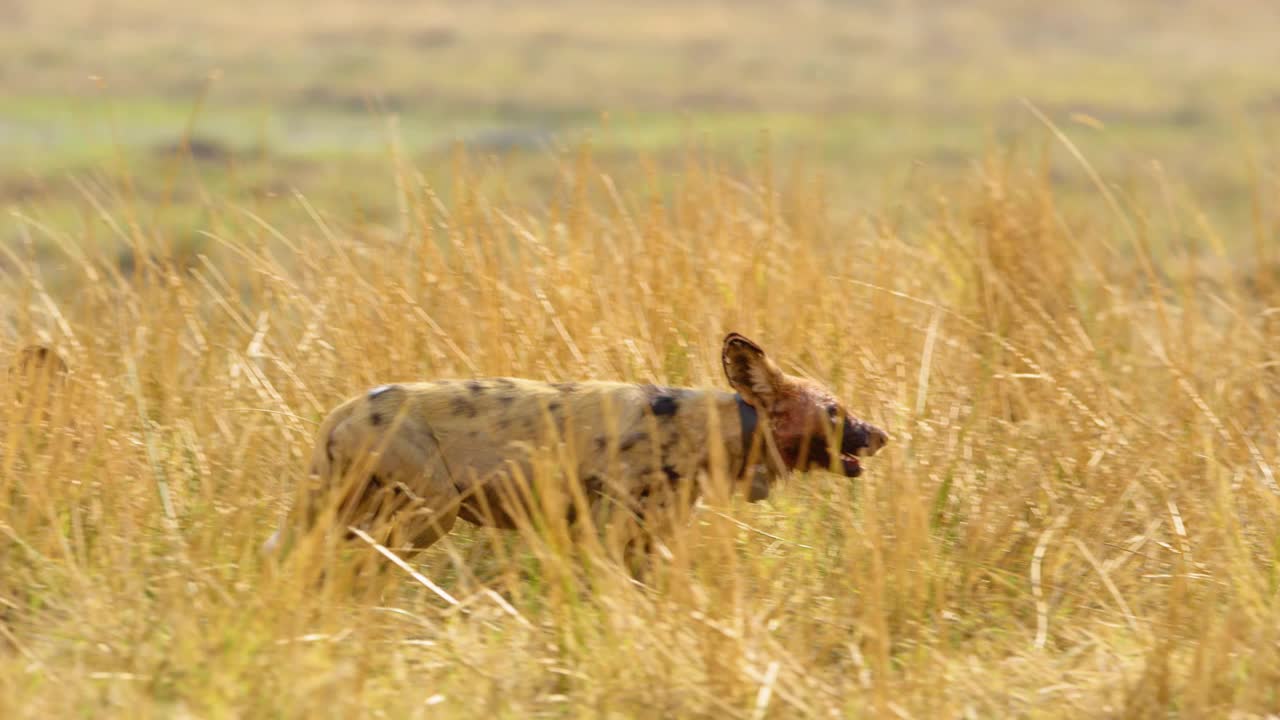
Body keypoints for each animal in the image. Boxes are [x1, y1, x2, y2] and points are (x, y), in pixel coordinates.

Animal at [264, 333, 885, 568]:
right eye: (835, 411)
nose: (880, 433)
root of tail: (344, 410)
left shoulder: (646, 541)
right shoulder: (611, 533)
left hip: (353, 514)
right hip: (425, 514)